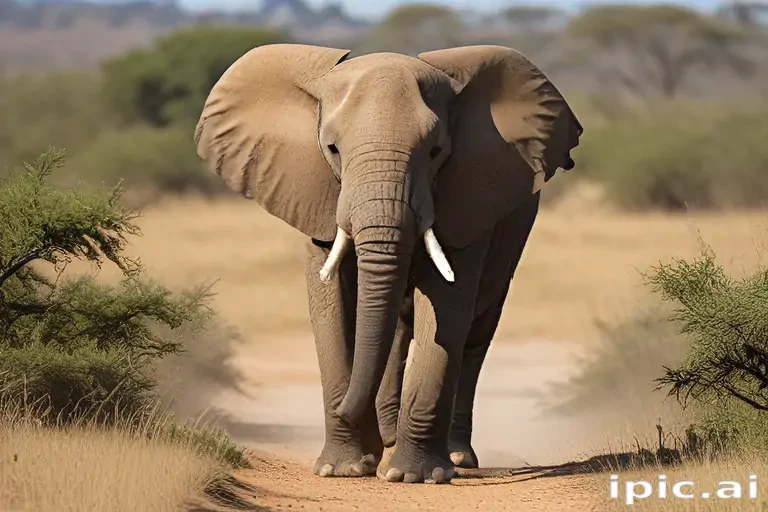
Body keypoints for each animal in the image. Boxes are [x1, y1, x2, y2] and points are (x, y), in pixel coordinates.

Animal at [194, 43, 583, 484]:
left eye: (435, 151)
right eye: (332, 149)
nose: (346, 410)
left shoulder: (466, 196)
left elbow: (446, 307)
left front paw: (416, 476)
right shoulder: (315, 194)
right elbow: (331, 302)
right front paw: (342, 469)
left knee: (475, 333)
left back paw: (452, 456)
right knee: (397, 330)